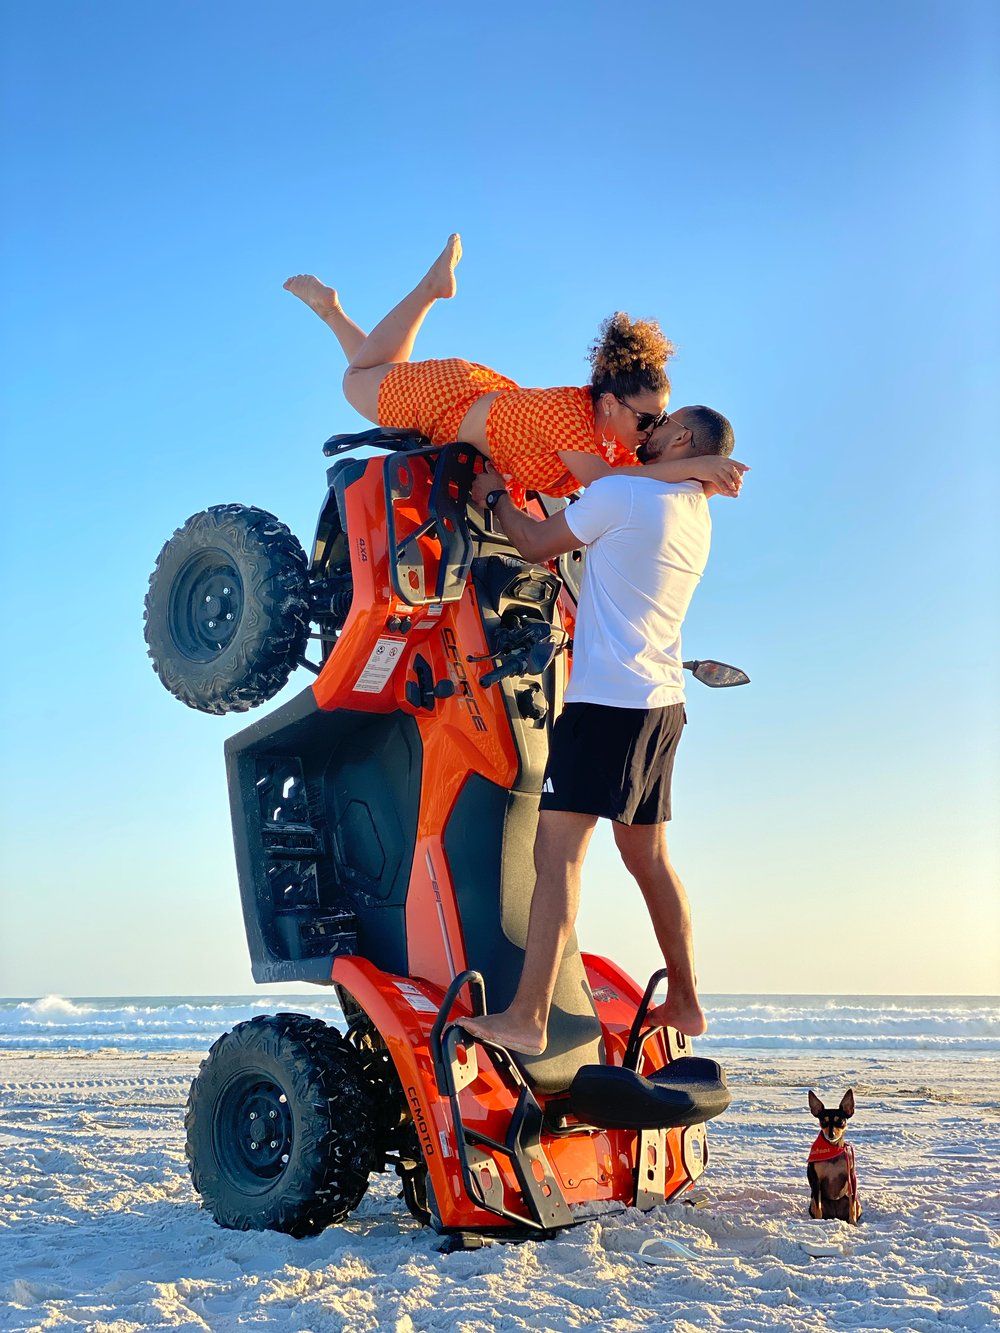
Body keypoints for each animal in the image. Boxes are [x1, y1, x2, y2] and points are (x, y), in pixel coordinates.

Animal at [810, 1087, 864, 1221]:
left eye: (840, 1121)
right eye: (823, 1121)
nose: (831, 1134)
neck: (833, 1149)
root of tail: (835, 1214)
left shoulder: (851, 1178)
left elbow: (852, 1208)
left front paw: (853, 1223)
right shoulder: (816, 1182)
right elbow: (818, 1208)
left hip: (857, 1203)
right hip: (812, 1202)